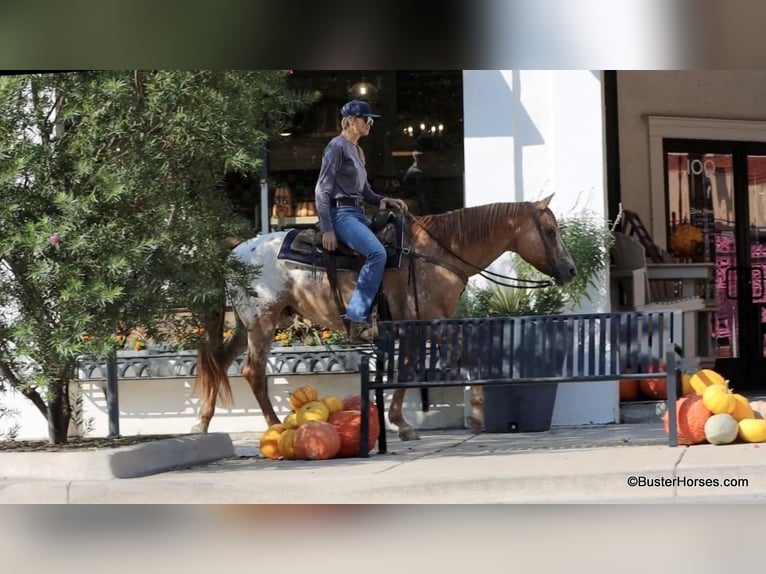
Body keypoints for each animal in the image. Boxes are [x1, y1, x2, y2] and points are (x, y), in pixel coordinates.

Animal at [192, 196, 576, 444]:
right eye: (550, 231)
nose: (570, 270)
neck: (437, 253)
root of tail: (235, 251)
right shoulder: (431, 320)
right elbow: (431, 363)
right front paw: (418, 422)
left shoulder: (424, 323)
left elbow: (411, 367)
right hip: (262, 323)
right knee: (252, 373)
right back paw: (276, 427)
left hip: (246, 326)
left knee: (219, 363)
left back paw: (202, 424)